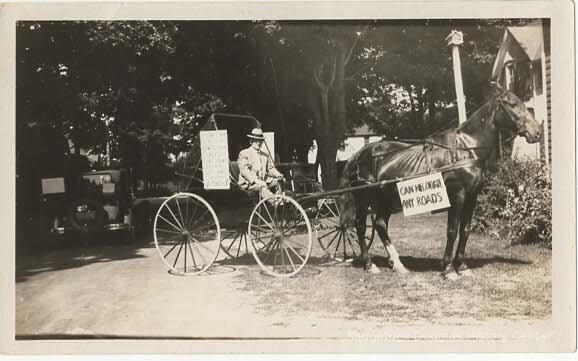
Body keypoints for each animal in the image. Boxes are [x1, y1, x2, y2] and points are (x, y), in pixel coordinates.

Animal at [336, 82, 544, 278]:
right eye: (512, 104)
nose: (537, 132)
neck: (466, 149)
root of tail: (359, 155)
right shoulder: (457, 196)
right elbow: (452, 231)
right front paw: (449, 269)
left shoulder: (472, 196)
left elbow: (465, 230)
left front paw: (463, 266)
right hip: (364, 199)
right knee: (360, 225)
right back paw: (369, 264)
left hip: (386, 198)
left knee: (379, 224)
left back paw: (398, 264)